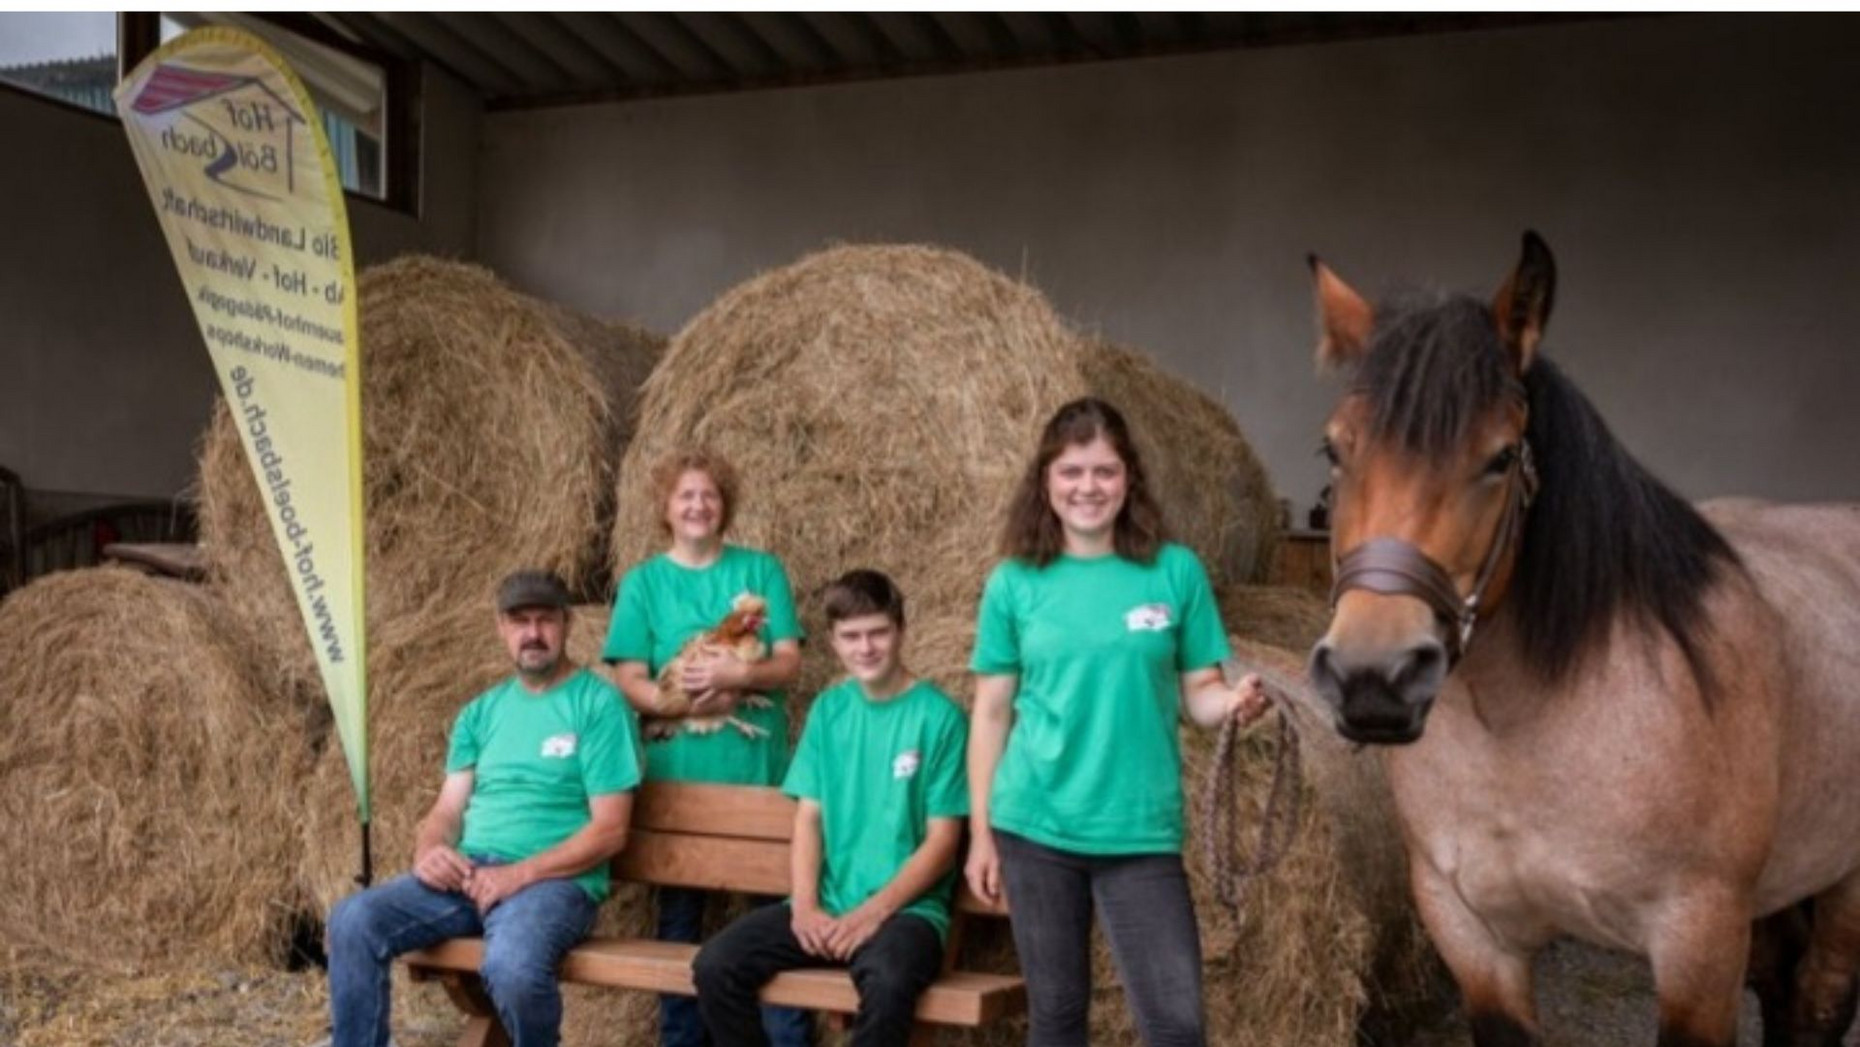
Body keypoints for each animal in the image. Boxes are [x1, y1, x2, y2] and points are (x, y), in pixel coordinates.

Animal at [1302, 231, 1860, 1047]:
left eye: (1501, 457)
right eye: (1335, 451)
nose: (1375, 678)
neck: (1528, 737)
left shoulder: (1698, 945)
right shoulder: (1475, 937)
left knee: (1820, 999)